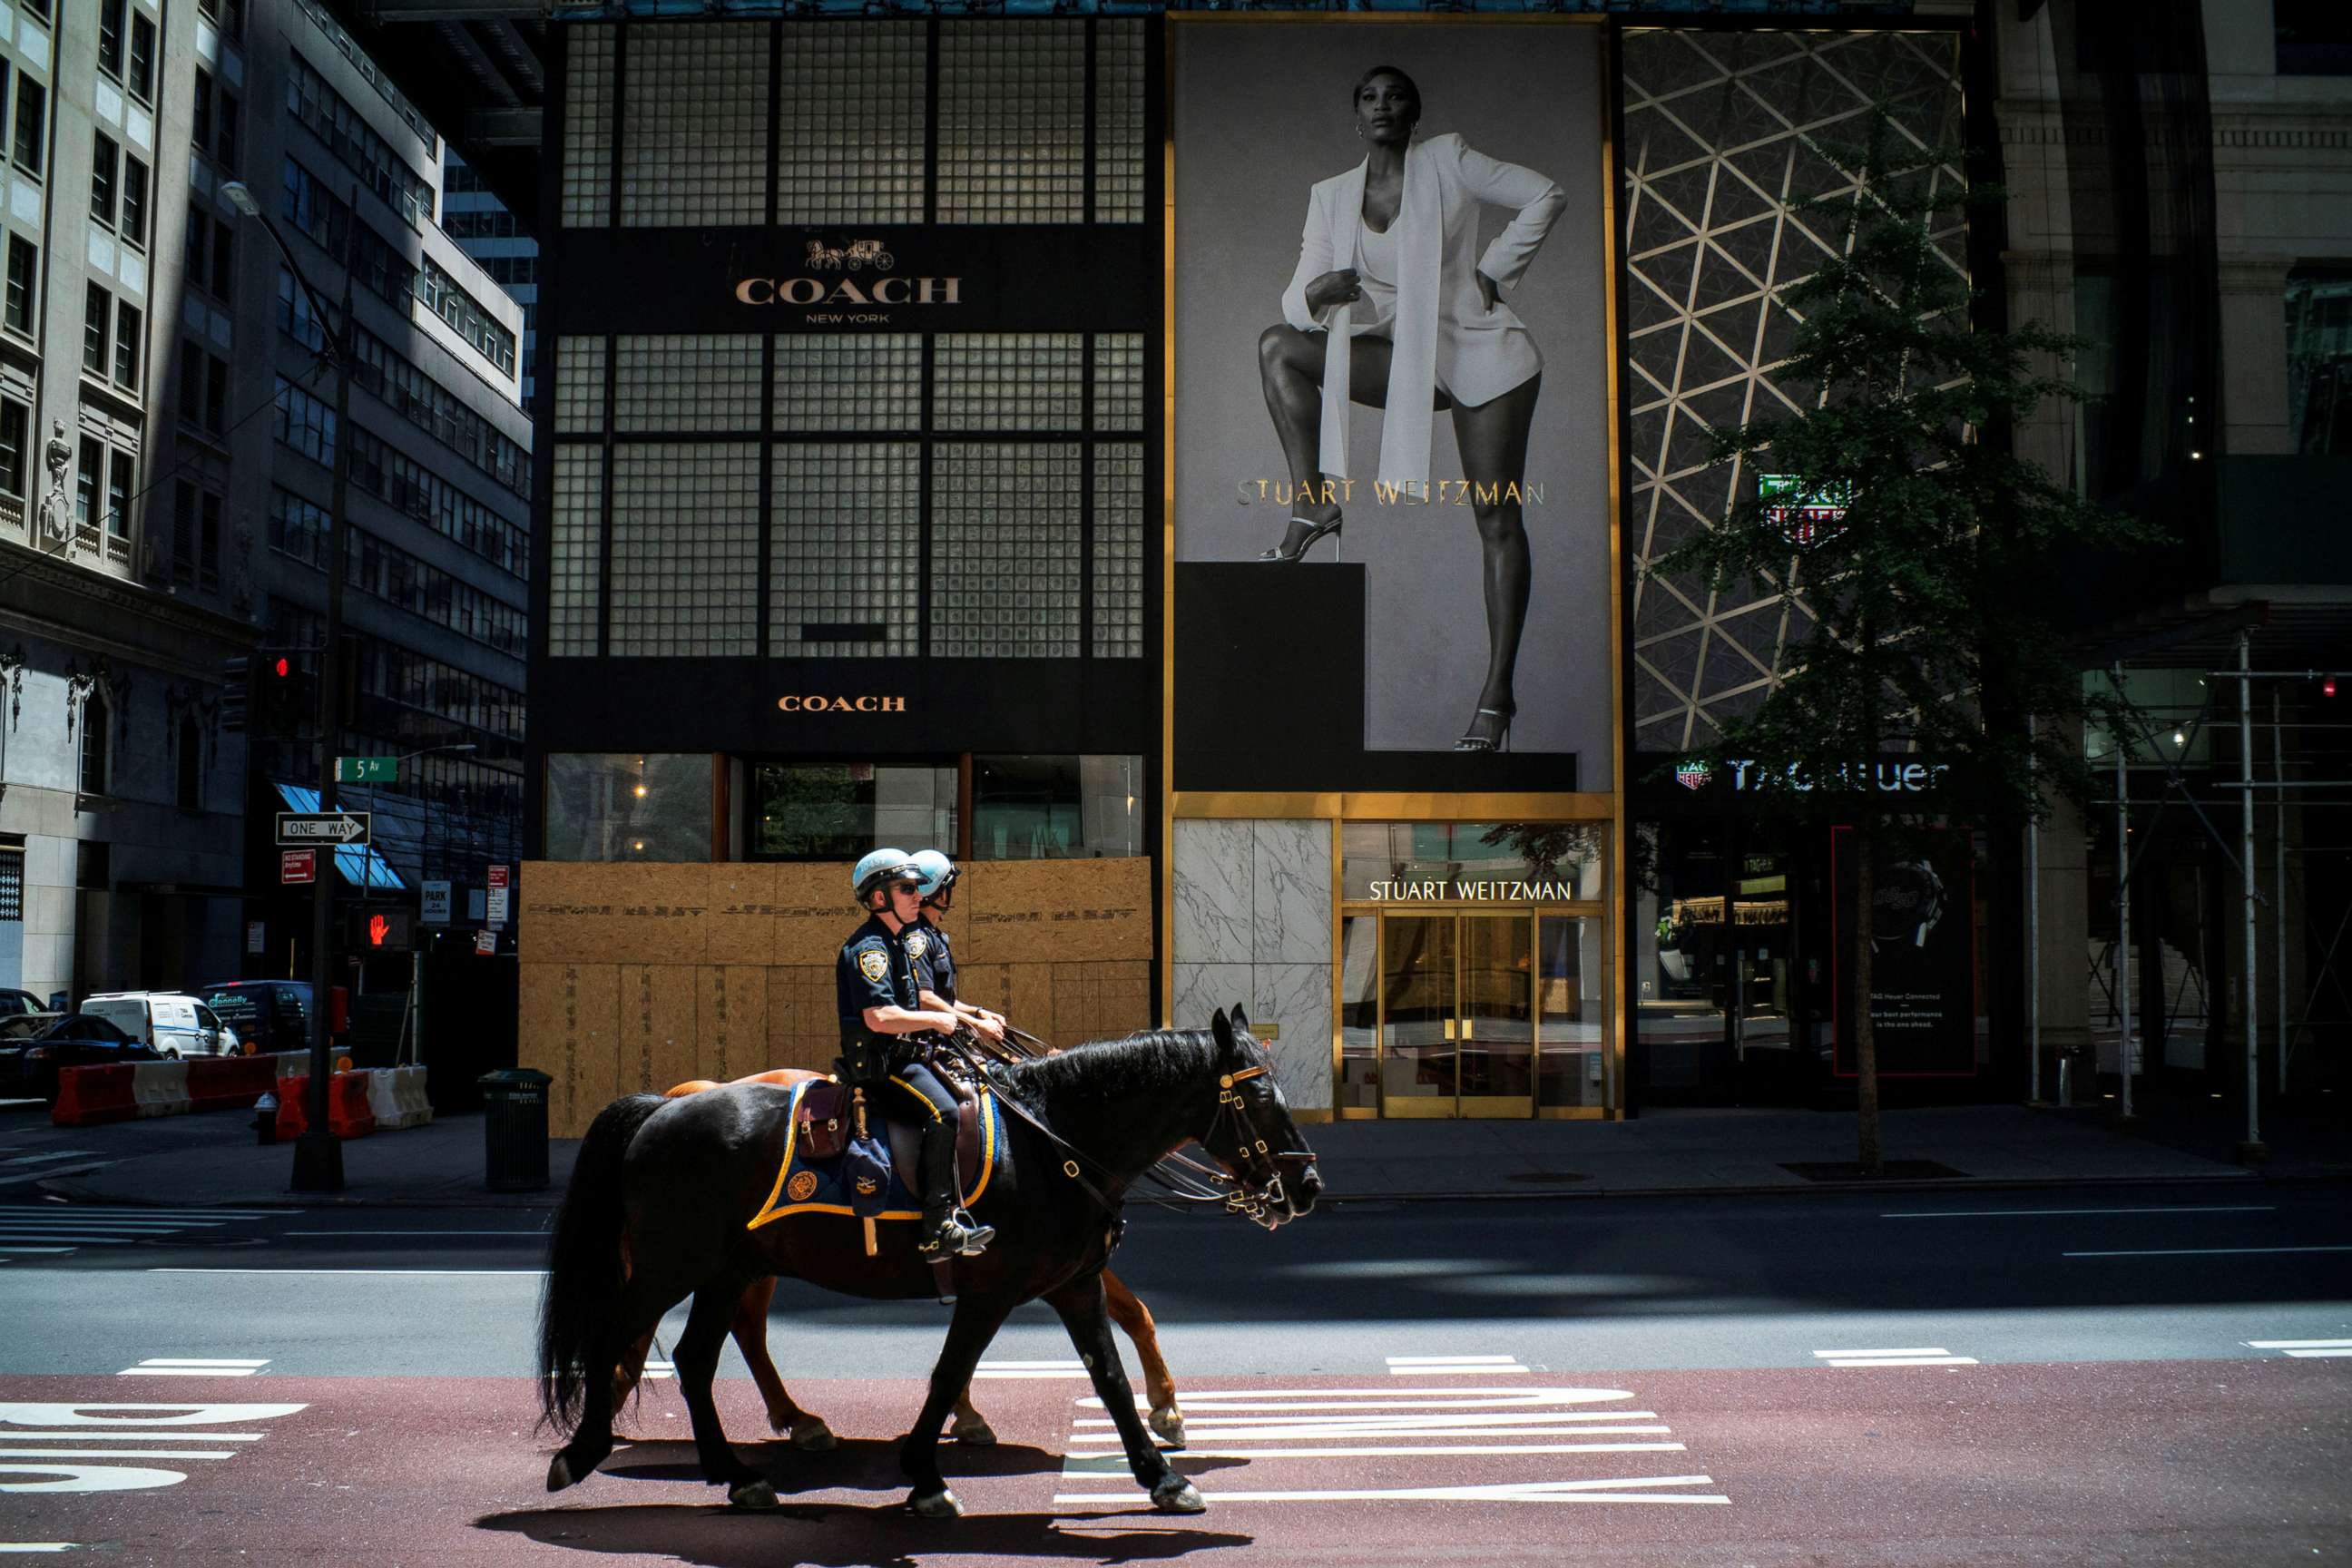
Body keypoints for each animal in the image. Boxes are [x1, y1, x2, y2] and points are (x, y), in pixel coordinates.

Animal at [616, 1067, 1185, 1447]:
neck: (1046, 1141)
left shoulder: (1053, 1272)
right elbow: (1134, 1312)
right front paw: (1166, 1409)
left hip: (744, 1263)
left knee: (743, 1329)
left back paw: (794, 1418)